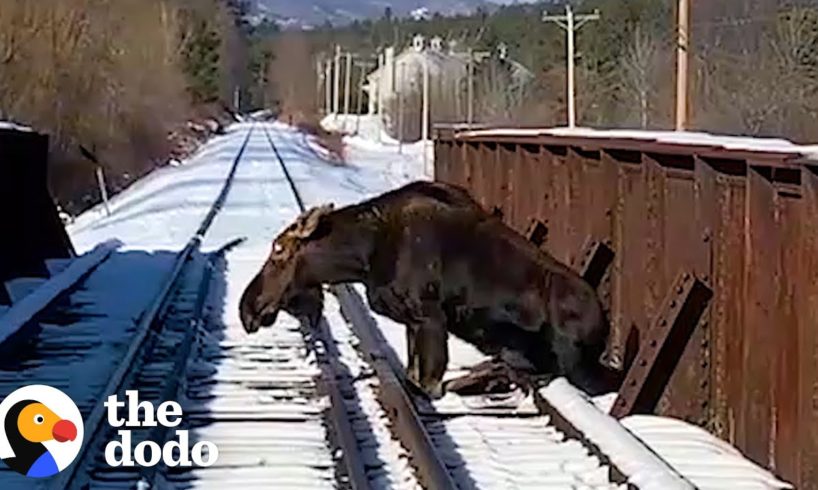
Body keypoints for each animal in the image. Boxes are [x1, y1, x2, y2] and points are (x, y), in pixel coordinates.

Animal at [239, 180, 608, 398]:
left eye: (278, 251)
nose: (247, 308)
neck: (363, 255)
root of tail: (602, 327)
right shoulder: (413, 322)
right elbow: (414, 374)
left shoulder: (429, 317)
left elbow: (425, 384)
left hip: (570, 360)